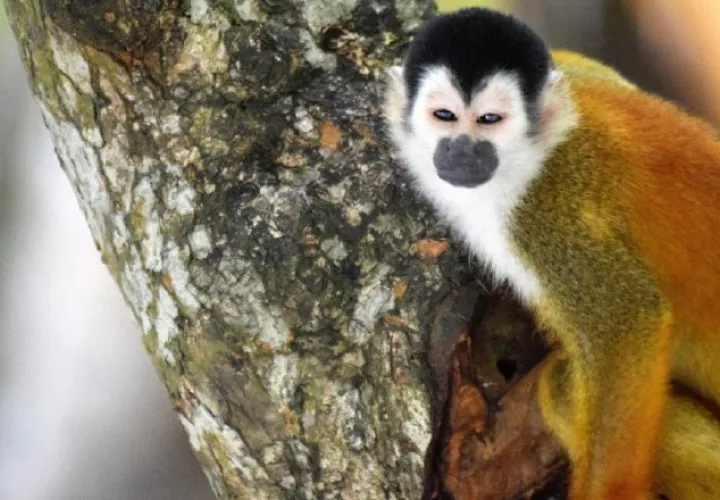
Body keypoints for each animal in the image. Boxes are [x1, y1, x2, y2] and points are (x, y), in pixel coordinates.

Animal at [384, 7, 720, 500]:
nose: (462, 151)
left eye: (490, 119)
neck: (527, 159)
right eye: (444, 115)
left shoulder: (546, 213)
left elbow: (626, 318)